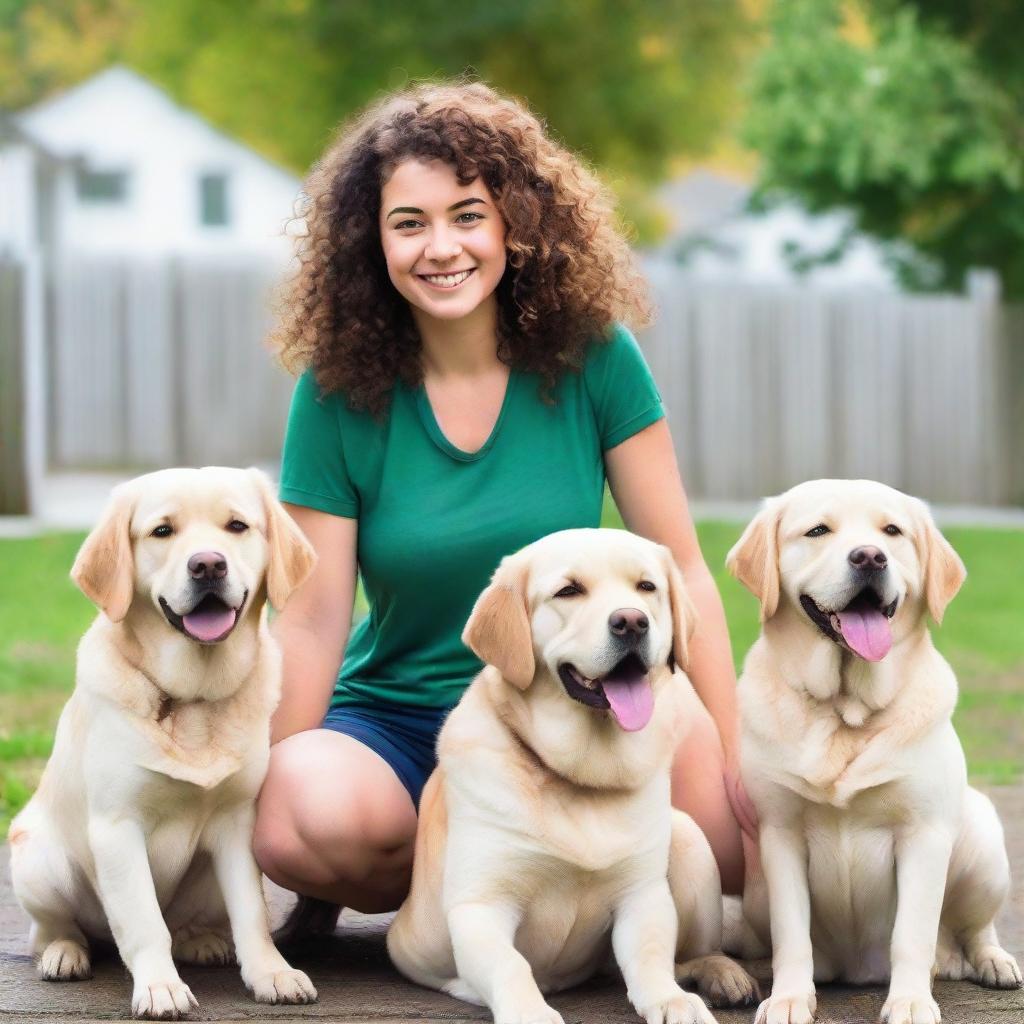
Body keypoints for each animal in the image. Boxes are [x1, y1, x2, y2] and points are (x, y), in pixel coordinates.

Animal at [8, 468, 317, 1019]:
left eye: (237, 526)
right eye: (162, 532)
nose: (208, 564)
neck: (193, 697)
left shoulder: (238, 822)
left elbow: (253, 915)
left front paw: (272, 973)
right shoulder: (117, 828)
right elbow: (143, 922)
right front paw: (159, 987)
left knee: (186, 924)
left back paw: (200, 941)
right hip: (37, 858)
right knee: (52, 930)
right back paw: (65, 953)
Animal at [387, 528, 757, 1024]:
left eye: (646, 587)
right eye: (569, 591)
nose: (632, 622)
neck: (581, 776)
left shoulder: (642, 895)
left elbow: (652, 956)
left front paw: (671, 1000)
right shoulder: (480, 906)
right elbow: (511, 965)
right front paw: (530, 1012)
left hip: (689, 841)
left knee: (690, 954)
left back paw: (722, 973)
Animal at [724, 479, 1019, 1024]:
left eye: (892, 531)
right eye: (818, 530)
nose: (869, 556)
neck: (847, 710)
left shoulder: (924, 833)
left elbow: (912, 935)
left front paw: (910, 1001)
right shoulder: (780, 833)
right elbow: (791, 935)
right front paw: (790, 997)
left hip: (983, 836)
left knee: (976, 927)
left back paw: (993, 961)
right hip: (754, 891)